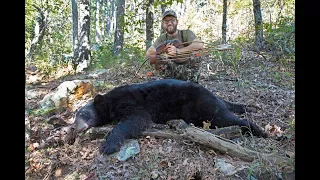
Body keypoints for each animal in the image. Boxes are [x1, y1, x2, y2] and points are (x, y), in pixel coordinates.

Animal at [70, 79, 268, 155]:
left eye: (84, 114)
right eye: (74, 117)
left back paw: (259, 130)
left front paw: (108, 145)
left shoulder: (129, 102)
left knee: (224, 117)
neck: (110, 101)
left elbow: (135, 119)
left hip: (204, 105)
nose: (74, 127)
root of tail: (211, 93)